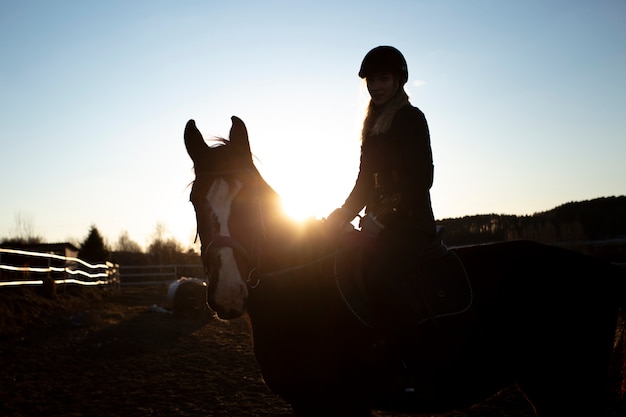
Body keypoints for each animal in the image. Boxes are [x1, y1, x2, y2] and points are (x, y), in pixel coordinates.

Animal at [183, 115, 624, 414]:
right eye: (195, 201)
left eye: (250, 201)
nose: (227, 293)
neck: (303, 287)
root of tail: (601, 270)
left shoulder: (342, 402)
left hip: (568, 388)